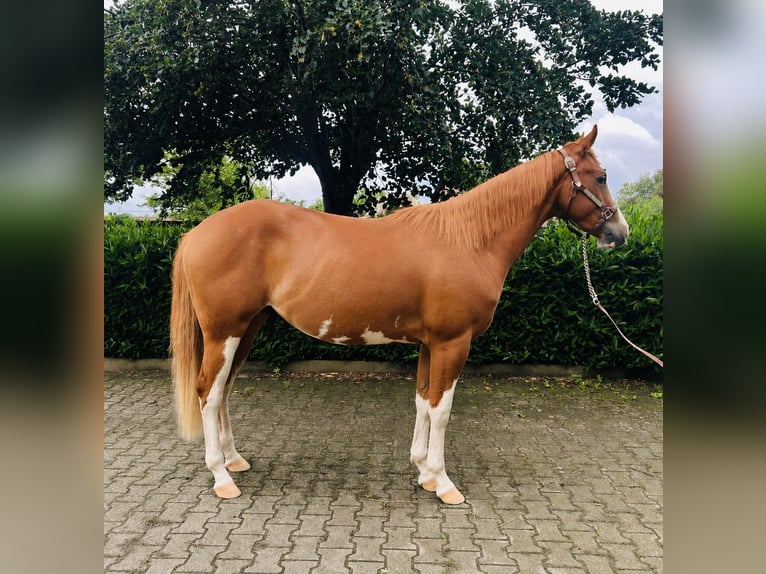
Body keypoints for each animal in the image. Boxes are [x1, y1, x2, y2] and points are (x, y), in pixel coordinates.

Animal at [170, 125, 629, 505]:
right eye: (601, 177)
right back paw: (221, 478)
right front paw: (444, 483)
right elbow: (442, 409)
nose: (619, 233)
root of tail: (196, 232)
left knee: (224, 390)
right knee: (208, 392)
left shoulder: (430, 344)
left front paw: (424, 471)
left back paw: (234, 459)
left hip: (247, 328)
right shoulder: (452, 343)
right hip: (224, 332)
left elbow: (424, 401)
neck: (469, 239)